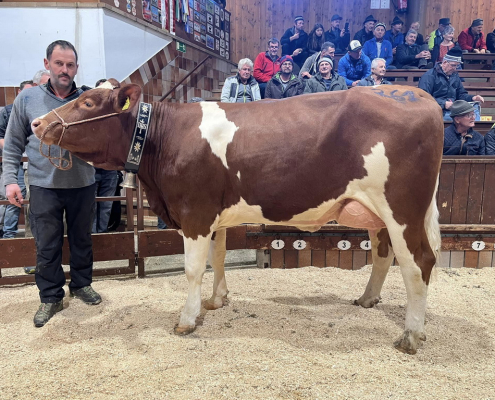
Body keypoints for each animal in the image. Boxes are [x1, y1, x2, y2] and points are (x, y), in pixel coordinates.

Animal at [31, 81, 446, 354]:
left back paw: (411, 336)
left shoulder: (194, 212)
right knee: (384, 254)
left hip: (402, 208)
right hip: (382, 213)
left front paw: (187, 319)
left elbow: (193, 270)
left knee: (419, 263)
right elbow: (217, 259)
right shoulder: (213, 216)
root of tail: (418, 95)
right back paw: (367, 300)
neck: (164, 139)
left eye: (87, 103)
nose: (37, 123)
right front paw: (217, 300)